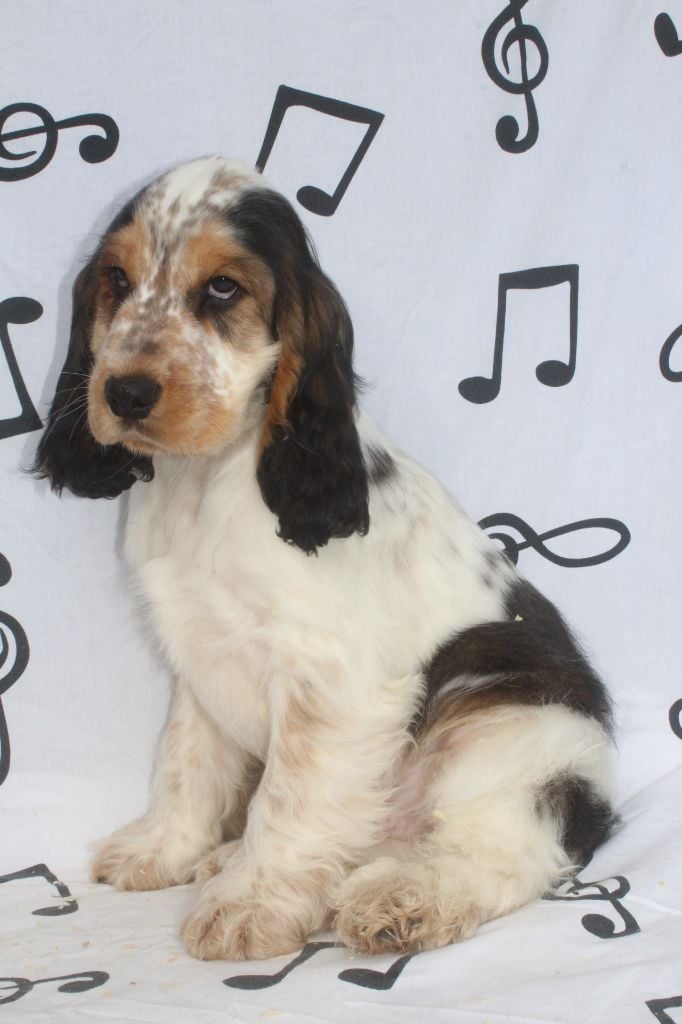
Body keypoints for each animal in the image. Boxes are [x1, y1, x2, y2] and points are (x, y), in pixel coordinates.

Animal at [35, 156, 616, 960]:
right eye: (116, 280)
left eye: (223, 287)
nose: (125, 392)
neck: (207, 480)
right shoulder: (198, 657)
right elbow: (186, 763)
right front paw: (162, 850)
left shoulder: (333, 683)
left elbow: (290, 795)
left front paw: (249, 906)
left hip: (500, 720)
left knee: (501, 852)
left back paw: (406, 898)